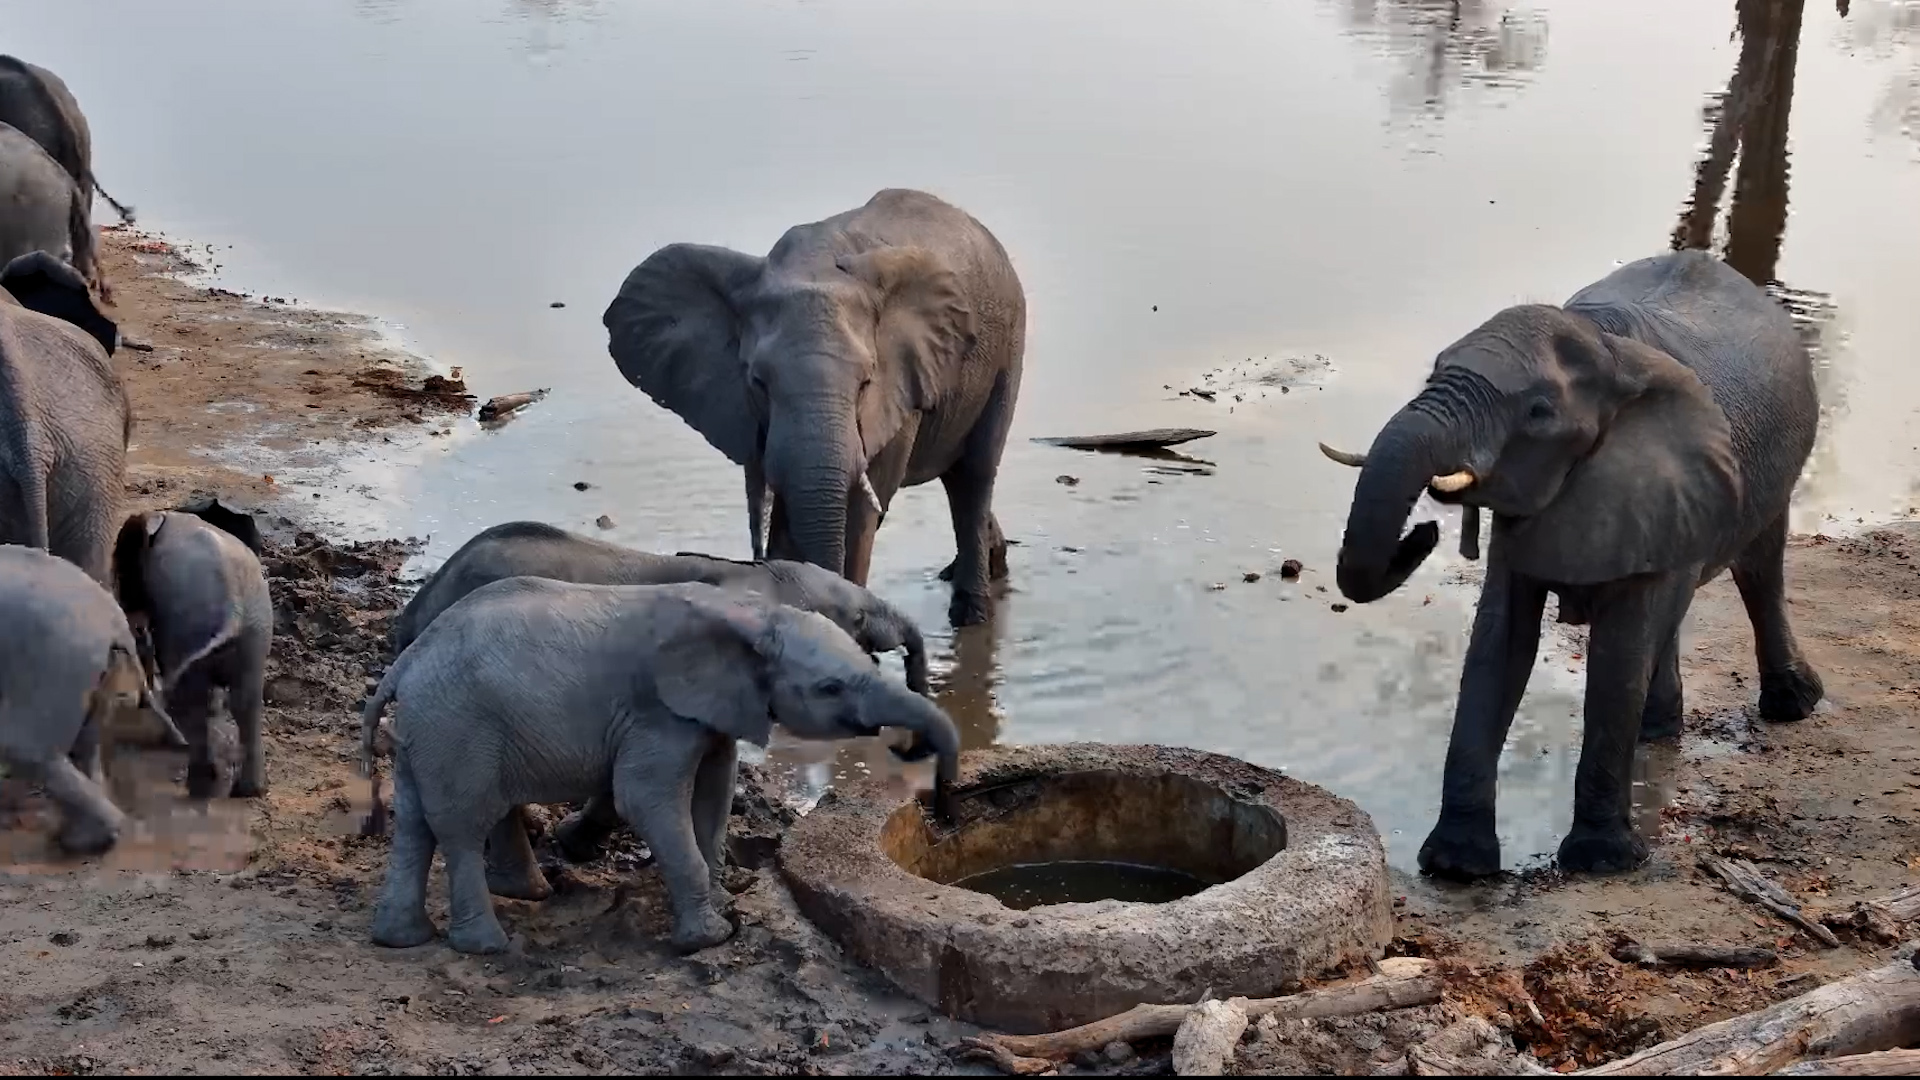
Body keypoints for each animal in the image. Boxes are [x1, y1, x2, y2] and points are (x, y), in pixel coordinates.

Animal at [0, 543, 187, 855]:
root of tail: (116, 622)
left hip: (56, 660)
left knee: (26, 749)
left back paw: (76, 842)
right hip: (90, 668)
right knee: (87, 744)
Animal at [113, 509, 274, 800]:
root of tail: (234, 611)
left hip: (191, 628)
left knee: (194, 698)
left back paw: (200, 786)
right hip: (255, 634)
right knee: (247, 699)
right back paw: (249, 791)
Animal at [360, 578, 961, 955]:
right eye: (830, 688)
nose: (943, 809)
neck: (754, 615)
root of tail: (404, 664)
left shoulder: (712, 709)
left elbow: (716, 790)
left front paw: (723, 902)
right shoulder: (657, 711)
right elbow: (644, 797)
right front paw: (710, 938)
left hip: (428, 732)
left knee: (415, 824)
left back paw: (407, 937)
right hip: (457, 727)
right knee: (461, 826)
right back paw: (486, 945)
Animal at [604, 187, 1027, 627]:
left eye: (866, 383)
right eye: (758, 383)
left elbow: (861, 514)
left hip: (1008, 349)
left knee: (974, 477)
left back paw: (970, 616)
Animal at [1320, 250, 1823, 880]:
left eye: (1538, 413)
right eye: (1434, 370)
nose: (1424, 530)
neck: (1605, 348)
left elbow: (1618, 651)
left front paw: (1600, 860)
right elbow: (1499, 642)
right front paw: (1457, 866)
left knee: (1759, 568)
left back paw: (1792, 705)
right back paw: (1659, 729)